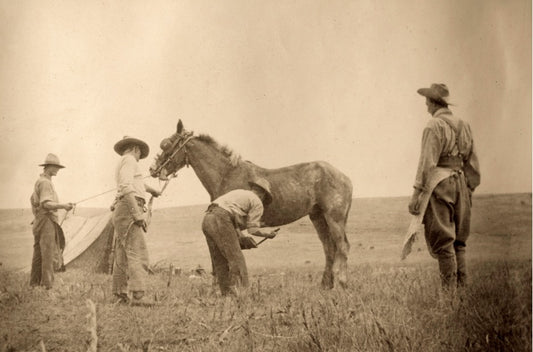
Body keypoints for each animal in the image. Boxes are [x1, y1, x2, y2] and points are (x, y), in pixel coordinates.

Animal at [149, 121, 354, 288]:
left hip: (334, 218)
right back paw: (326, 285)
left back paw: (341, 284)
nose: (153, 170)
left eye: (166, 144)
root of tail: (344, 177)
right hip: (318, 217)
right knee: (329, 248)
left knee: (342, 246)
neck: (226, 174)